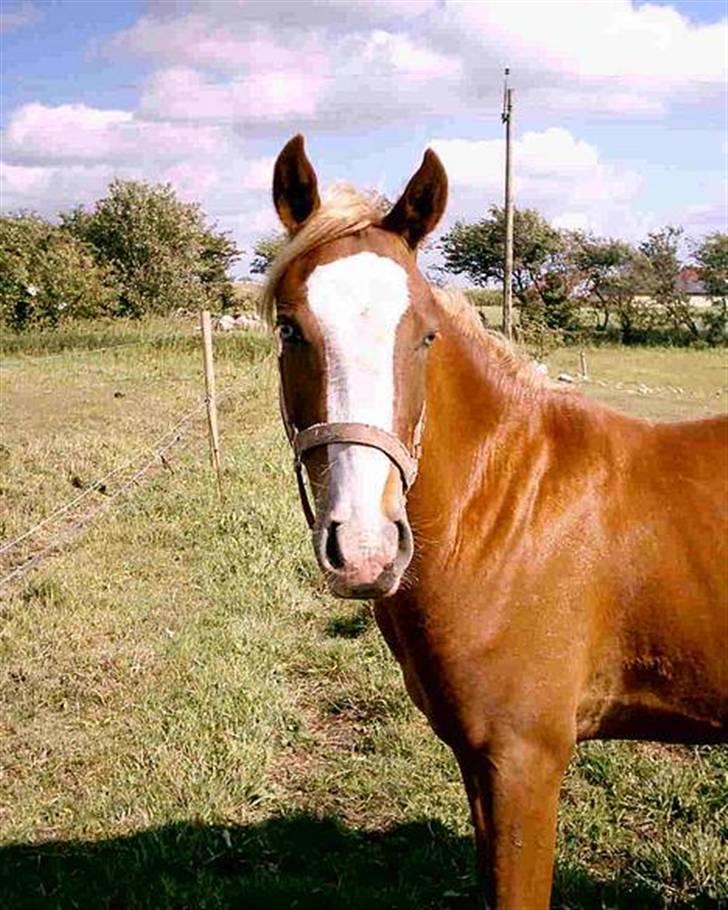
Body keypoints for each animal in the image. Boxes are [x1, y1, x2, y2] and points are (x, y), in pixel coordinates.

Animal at [262, 137, 728, 910]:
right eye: (289, 328)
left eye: (424, 336)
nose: (364, 549)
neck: (508, 515)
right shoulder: (480, 763)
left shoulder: (523, 761)